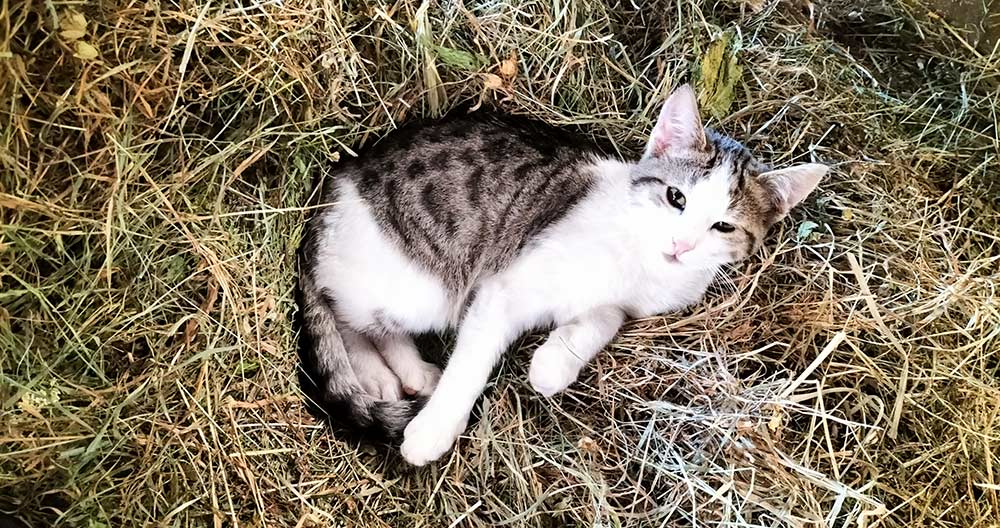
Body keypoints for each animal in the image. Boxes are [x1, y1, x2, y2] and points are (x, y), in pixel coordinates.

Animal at [292, 85, 824, 466]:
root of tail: (332, 191)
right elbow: (472, 362)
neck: (639, 261)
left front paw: (553, 364)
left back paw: (412, 373)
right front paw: (434, 430)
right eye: (676, 198)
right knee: (344, 316)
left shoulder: (629, 304)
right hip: (420, 285)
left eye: (724, 226)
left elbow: (604, 318)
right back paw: (380, 378)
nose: (681, 246)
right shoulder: (502, 289)